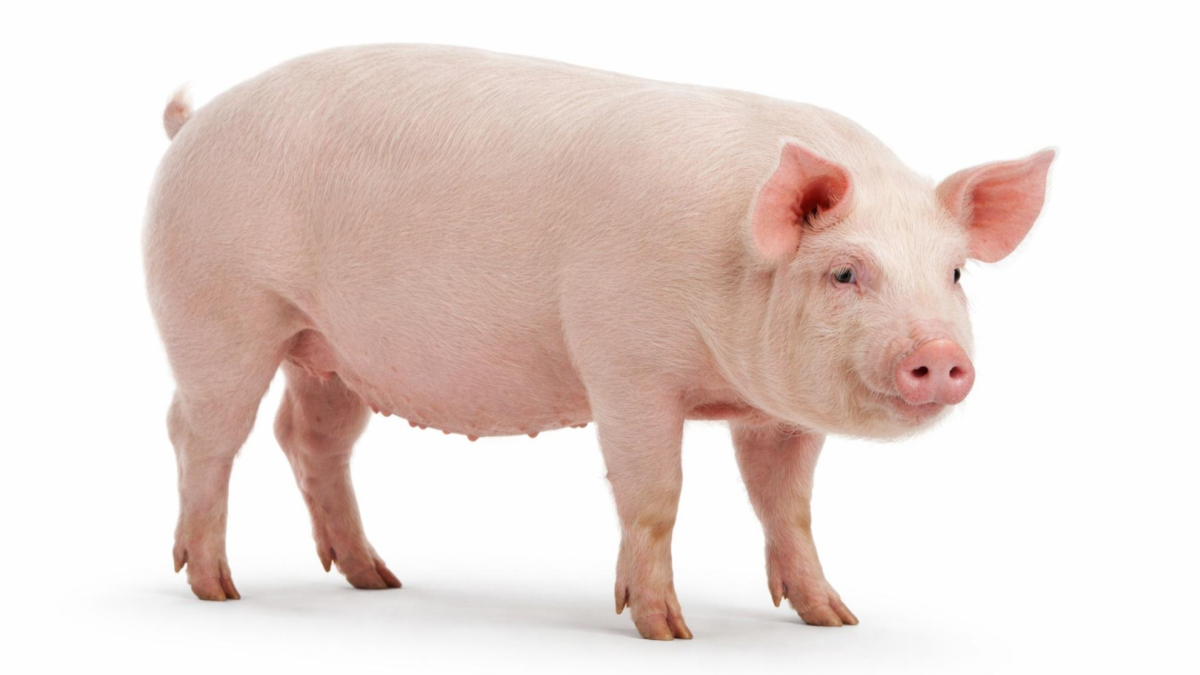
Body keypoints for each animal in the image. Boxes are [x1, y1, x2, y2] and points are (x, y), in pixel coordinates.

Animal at [144, 44, 1054, 640]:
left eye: (955, 274)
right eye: (845, 272)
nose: (941, 355)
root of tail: (192, 124)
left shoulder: (775, 413)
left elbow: (786, 505)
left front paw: (835, 619)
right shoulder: (623, 365)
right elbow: (655, 493)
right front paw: (668, 631)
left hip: (328, 348)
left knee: (309, 437)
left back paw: (377, 578)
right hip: (218, 307)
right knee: (202, 432)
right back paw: (217, 590)